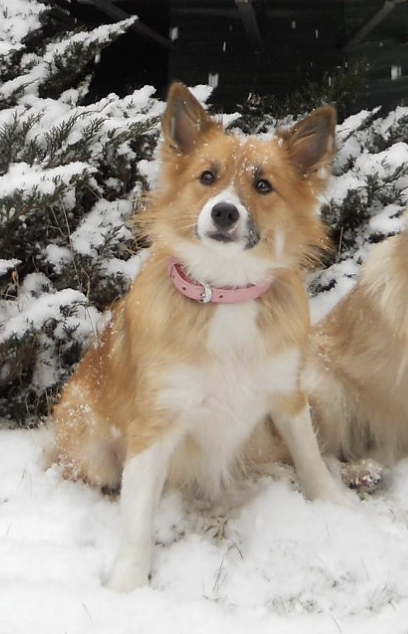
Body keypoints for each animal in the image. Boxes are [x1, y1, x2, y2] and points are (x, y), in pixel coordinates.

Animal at [49, 81, 346, 592]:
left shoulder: (287, 397)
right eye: (207, 177)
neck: (225, 291)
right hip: (88, 439)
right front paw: (128, 583)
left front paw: (331, 503)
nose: (224, 211)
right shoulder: (154, 424)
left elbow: (309, 456)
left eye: (262, 185)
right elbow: (136, 512)